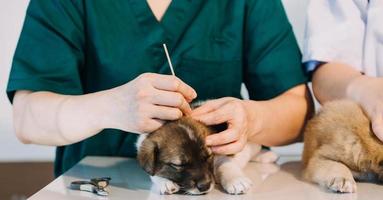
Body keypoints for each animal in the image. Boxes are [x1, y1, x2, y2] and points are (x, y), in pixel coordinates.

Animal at [136, 116, 278, 195]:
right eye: (178, 165)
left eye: (208, 157)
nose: (204, 186)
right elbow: (153, 174)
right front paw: (165, 182)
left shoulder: (220, 154)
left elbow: (225, 166)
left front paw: (236, 181)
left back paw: (267, 155)